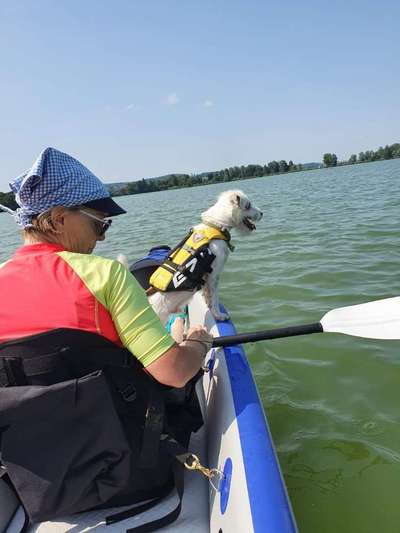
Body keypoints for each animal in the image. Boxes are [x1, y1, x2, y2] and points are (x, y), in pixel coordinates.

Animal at [119, 190, 262, 324]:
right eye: (248, 205)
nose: (262, 213)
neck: (216, 225)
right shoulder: (213, 275)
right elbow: (214, 299)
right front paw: (219, 316)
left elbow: (208, 298)